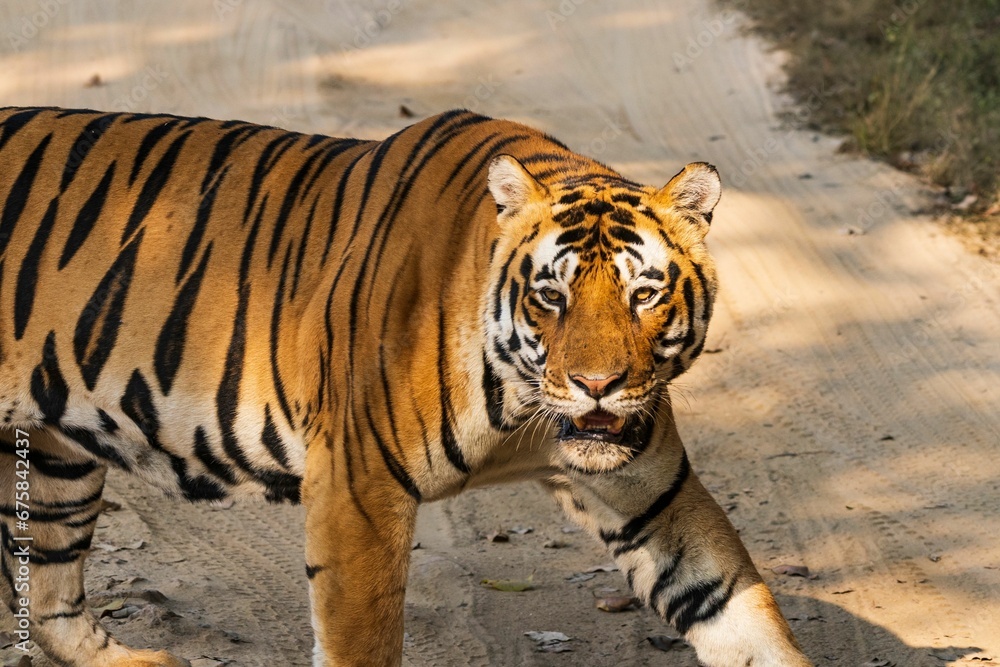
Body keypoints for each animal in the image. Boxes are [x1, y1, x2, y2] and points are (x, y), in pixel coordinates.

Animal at [0, 106, 811, 667]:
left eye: (644, 295)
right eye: (551, 296)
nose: (597, 384)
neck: (519, 407)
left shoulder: (654, 496)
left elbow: (740, 610)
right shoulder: (357, 487)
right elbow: (361, 637)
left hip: (56, 456)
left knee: (49, 591)